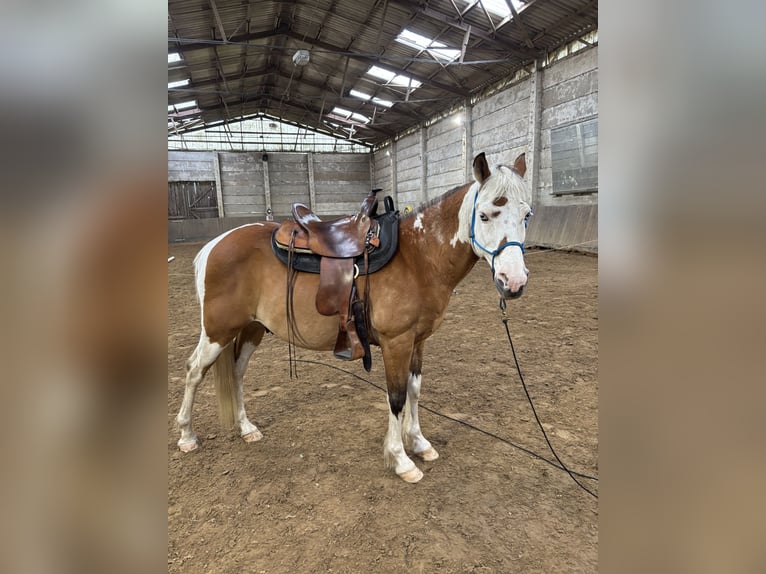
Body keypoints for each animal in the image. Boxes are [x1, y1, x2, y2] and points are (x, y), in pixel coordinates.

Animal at [175, 151, 532, 483]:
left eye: (527, 215)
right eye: (484, 215)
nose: (513, 282)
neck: (418, 258)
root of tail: (215, 244)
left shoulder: (417, 341)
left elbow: (414, 390)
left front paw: (419, 443)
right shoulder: (396, 342)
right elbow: (396, 397)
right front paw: (401, 460)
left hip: (252, 328)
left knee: (237, 371)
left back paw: (246, 427)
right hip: (218, 331)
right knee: (194, 371)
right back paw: (187, 435)